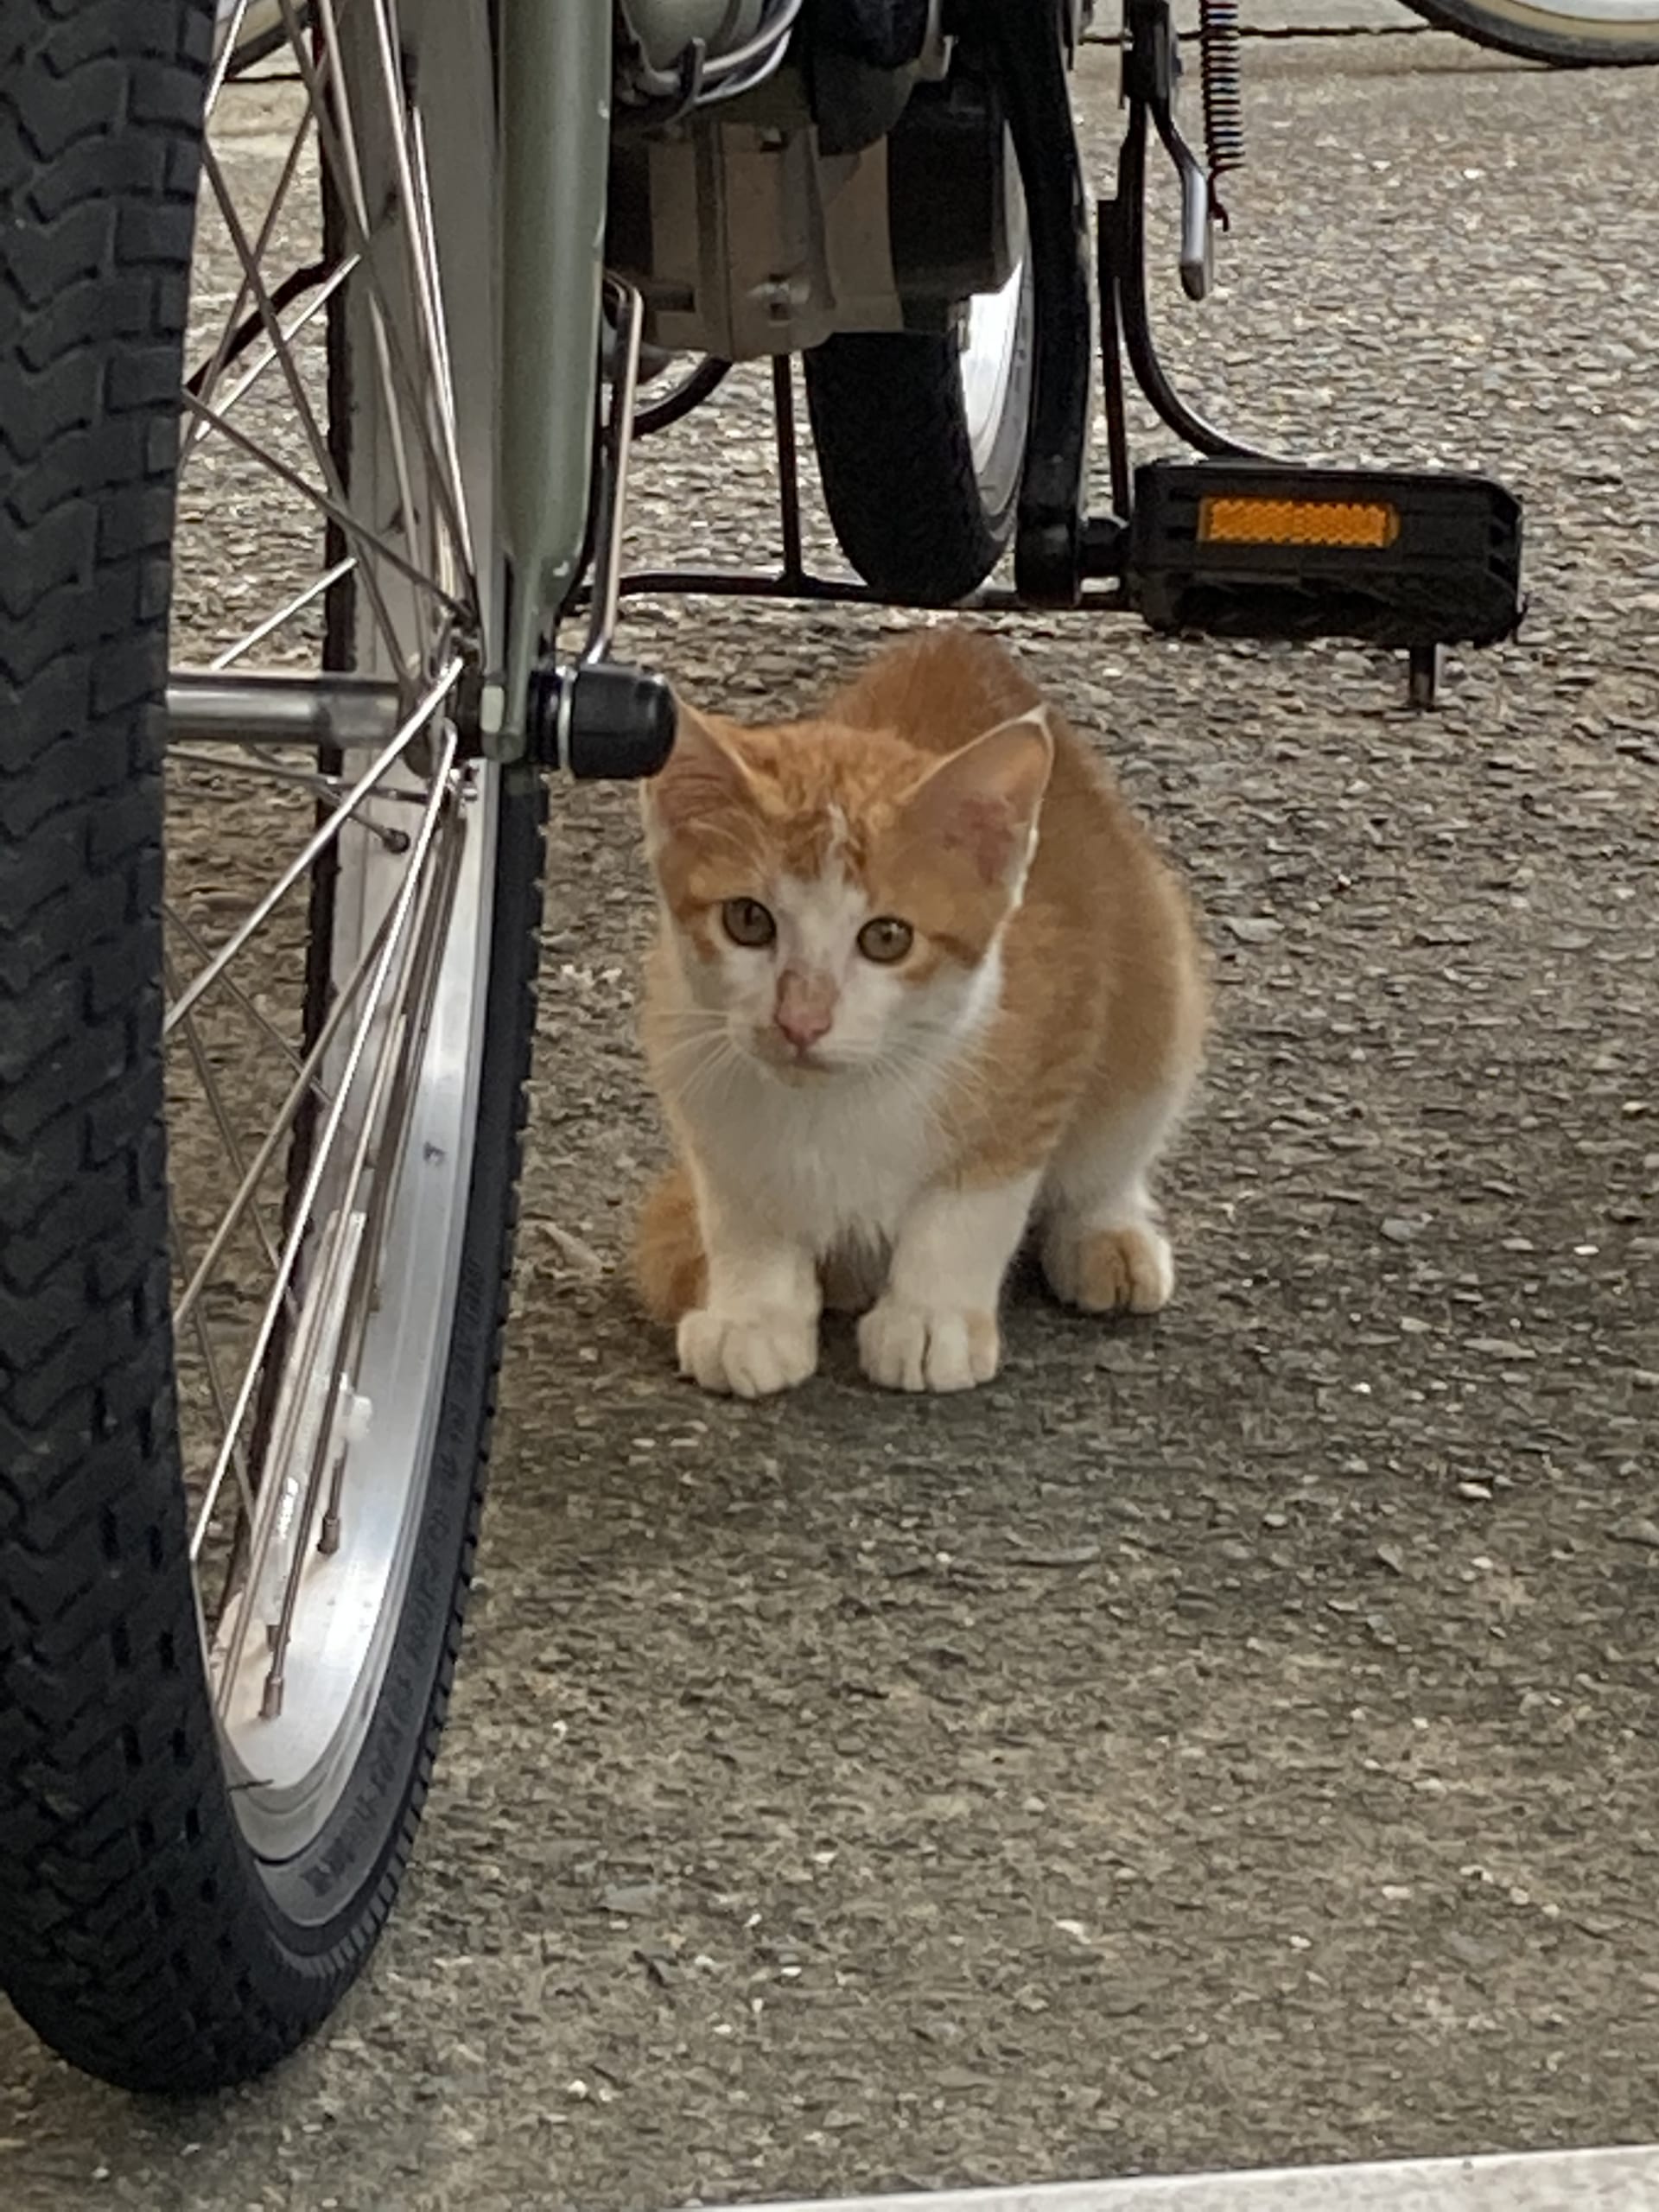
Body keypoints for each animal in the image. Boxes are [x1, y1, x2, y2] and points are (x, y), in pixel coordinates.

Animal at [637, 623, 1211, 1389]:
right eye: (748, 921)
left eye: (887, 937)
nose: (801, 1020)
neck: (833, 1104)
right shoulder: (692, 1069)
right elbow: (741, 1204)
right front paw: (753, 1315)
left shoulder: (1049, 1038)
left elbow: (973, 1203)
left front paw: (931, 1318)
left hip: (1156, 987)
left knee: (1120, 1137)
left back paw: (1104, 1230)